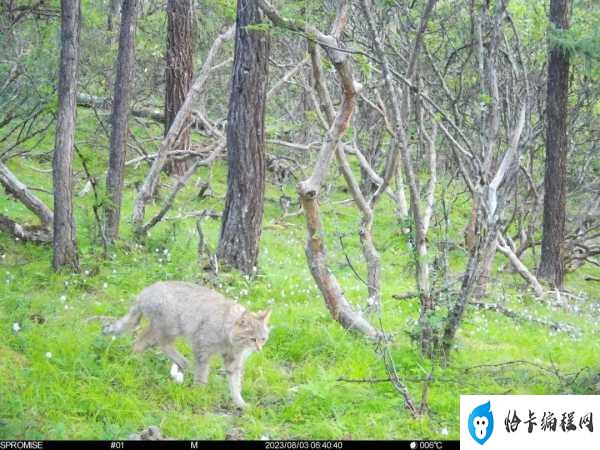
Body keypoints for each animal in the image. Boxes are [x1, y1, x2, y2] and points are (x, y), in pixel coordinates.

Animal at [103, 282, 272, 408]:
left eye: (263, 339)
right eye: (252, 339)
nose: (259, 349)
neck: (230, 339)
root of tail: (144, 292)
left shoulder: (233, 360)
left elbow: (235, 383)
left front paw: (239, 402)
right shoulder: (201, 347)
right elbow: (202, 373)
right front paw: (199, 392)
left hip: (166, 329)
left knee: (152, 342)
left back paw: (180, 363)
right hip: (168, 327)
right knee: (145, 341)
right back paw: (138, 359)